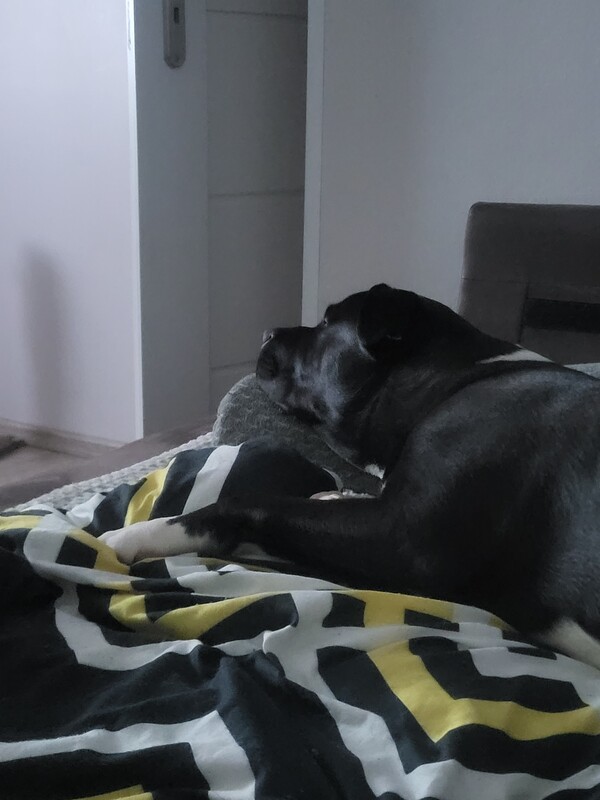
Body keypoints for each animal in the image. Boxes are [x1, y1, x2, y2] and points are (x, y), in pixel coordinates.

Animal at [101, 284, 600, 669]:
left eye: (326, 324)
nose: (266, 332)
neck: (456, 380)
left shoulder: (405, 537)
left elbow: (245, 503)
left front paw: (137, 535)